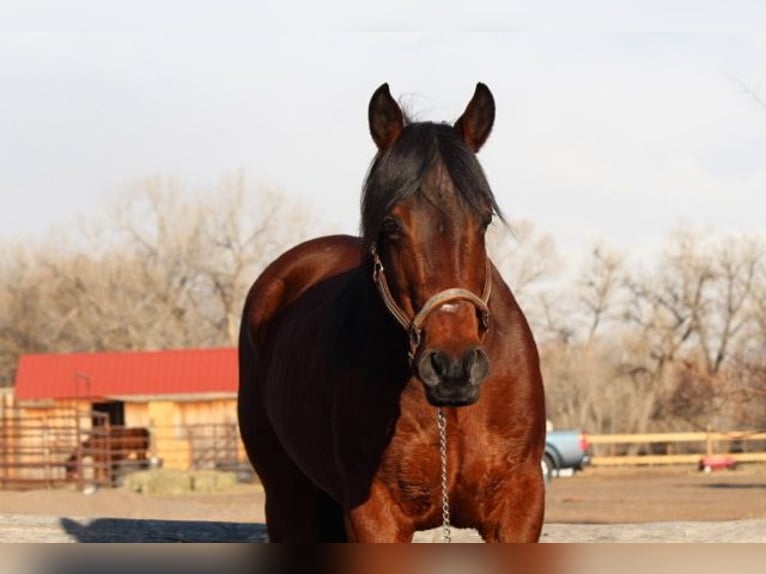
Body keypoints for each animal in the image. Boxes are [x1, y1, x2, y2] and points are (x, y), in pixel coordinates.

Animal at [238, 83, 544, 544]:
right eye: (391, 225)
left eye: (484, 219)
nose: (454, 368)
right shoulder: (374, 516)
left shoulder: (519, 507)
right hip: (287, 498)